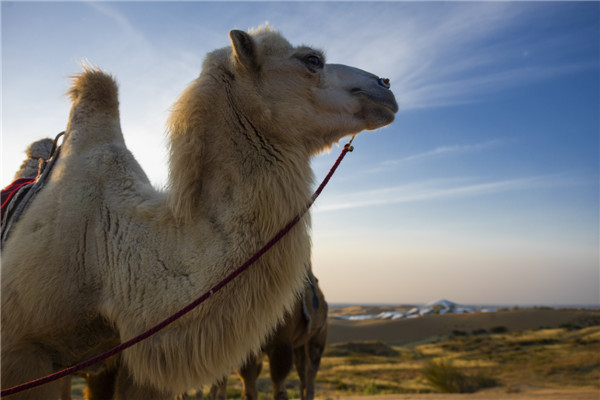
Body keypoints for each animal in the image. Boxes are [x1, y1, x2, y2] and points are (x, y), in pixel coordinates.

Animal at [210, 268, 328, 400]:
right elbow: (248, 389)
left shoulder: (281, 343)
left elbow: (279, 386)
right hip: (299, 345)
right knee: (302, 373)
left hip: (317, 337)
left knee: (312, 368)